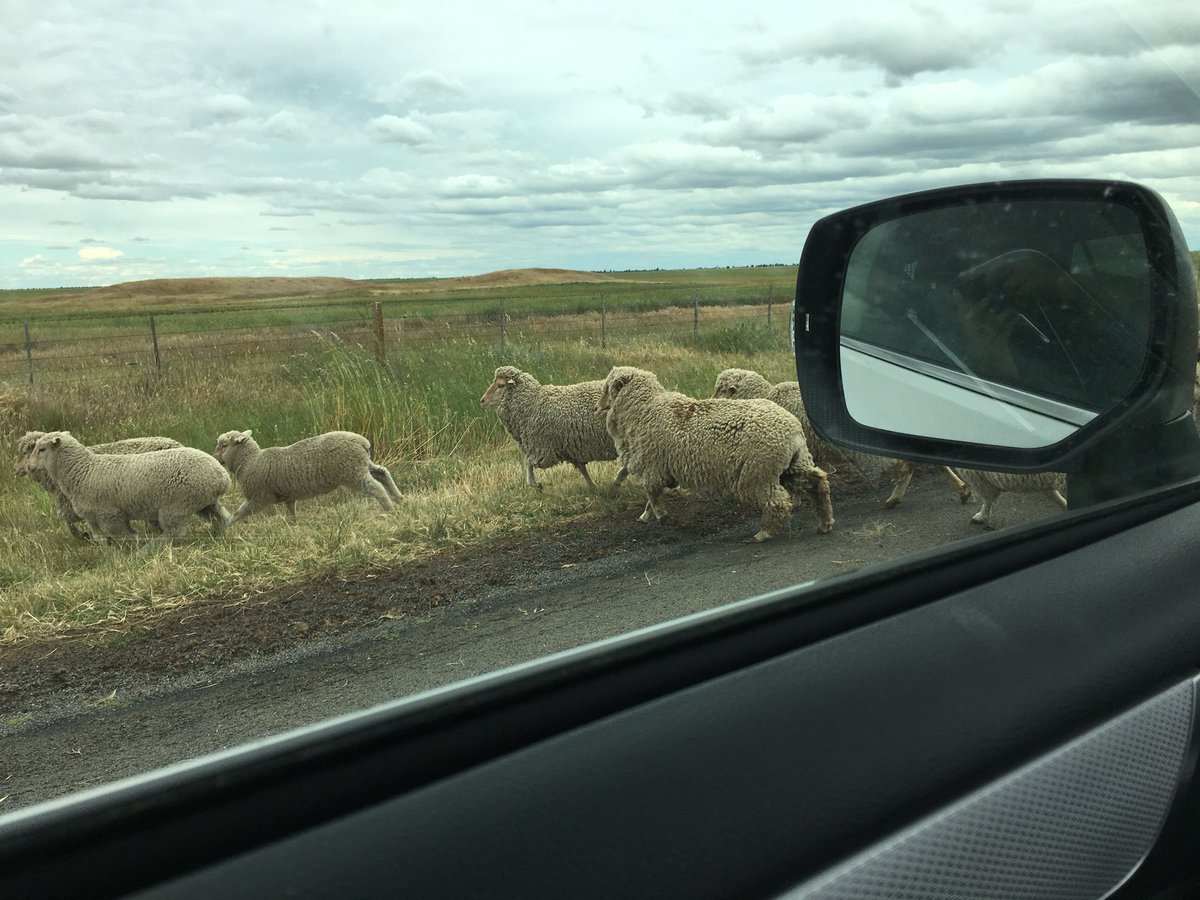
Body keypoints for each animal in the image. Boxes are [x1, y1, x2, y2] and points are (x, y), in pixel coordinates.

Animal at [23, 431, 231, 540]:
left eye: (41, 449)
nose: (29, 467)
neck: (83, 469)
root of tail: (222, 477)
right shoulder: (93, 515)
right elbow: (99, 535)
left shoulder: (111, 514)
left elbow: (123, 534)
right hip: (205, 502)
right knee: (222, 517)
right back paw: (220, 533)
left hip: (177, 505)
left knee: (176, 532)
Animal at [213, 429, 401, 524]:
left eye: (224, 445)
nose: (214, 457)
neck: (250, 461)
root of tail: (363, 442)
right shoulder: (288, 496)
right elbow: (292, 512)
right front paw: (294, 525)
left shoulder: (257, 498)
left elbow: (239, 513)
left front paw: (226, 527)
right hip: (362, 465)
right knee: (382, 473)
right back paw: (399, 499)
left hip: (352, 471)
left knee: (375, 487)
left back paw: (389, 509)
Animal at [481, 365, 628, 490]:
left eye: (500, 385)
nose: (482, 400)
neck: (532, 403)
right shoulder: (572, 446)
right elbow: (581, 468)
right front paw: (593, 486)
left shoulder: (541, 445)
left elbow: (528, 462)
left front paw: (534, 484)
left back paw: (619, 478)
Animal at [597, 365, 834, 542]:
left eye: (607, 387)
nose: (598, 407)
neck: (644, 410)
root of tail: (792, 430)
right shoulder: (659, 468)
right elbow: (652, 494)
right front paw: (647, 515)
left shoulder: (652, 467)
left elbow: (651, 493)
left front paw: (660, 516)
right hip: (794, 463)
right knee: (818, 482)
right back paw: (825, 523)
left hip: (758, 474)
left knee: (777, 503)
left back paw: (762, 533)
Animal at [711, 367, 972, 508]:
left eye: (721, 389)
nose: (708, 400)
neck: (767, 396)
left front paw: (795, 501)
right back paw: (961, 490)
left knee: (907, 467)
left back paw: (895, 498)